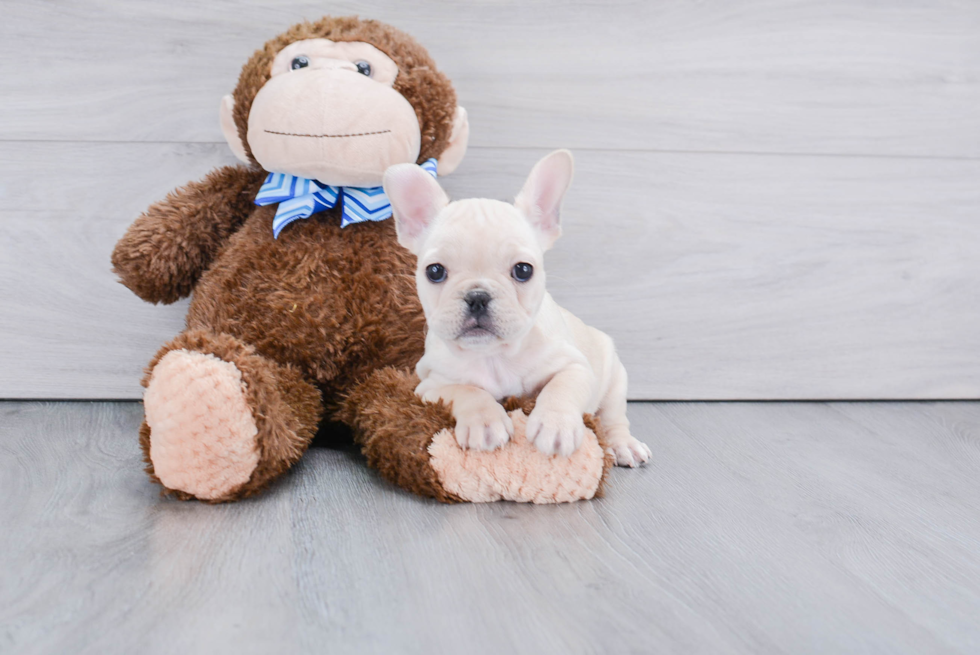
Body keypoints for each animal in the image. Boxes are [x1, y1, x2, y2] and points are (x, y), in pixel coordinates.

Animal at [382, 151, 652, 466]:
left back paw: (624, 444)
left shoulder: (576, 366)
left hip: (615, 380)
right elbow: (467, 390)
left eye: (523, 270)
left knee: (614, 418)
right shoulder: (430, 385)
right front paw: (484, 422)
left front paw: (555, 425)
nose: (477, 296)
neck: (494, 355)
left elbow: (562, 387)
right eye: (434, 272)